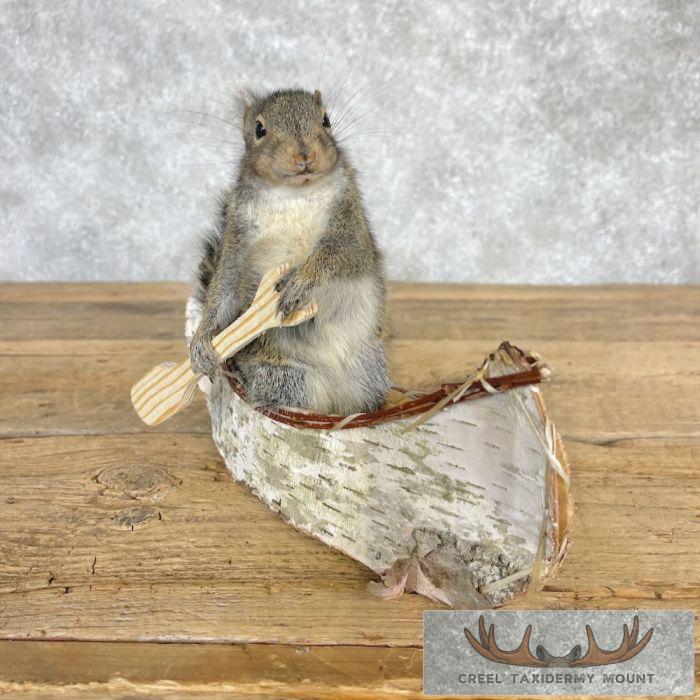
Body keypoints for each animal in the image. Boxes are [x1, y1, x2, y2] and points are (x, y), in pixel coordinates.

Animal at [190, 88, 390, 415]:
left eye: (326, 119)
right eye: (259, 130)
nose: (305, 155)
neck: (294, 194)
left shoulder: (352, 225)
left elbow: (343, 255)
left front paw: (301, 281)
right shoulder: (237, 239)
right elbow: (224, 290)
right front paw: (202, 340)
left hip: (370, 369)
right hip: (285, 376)